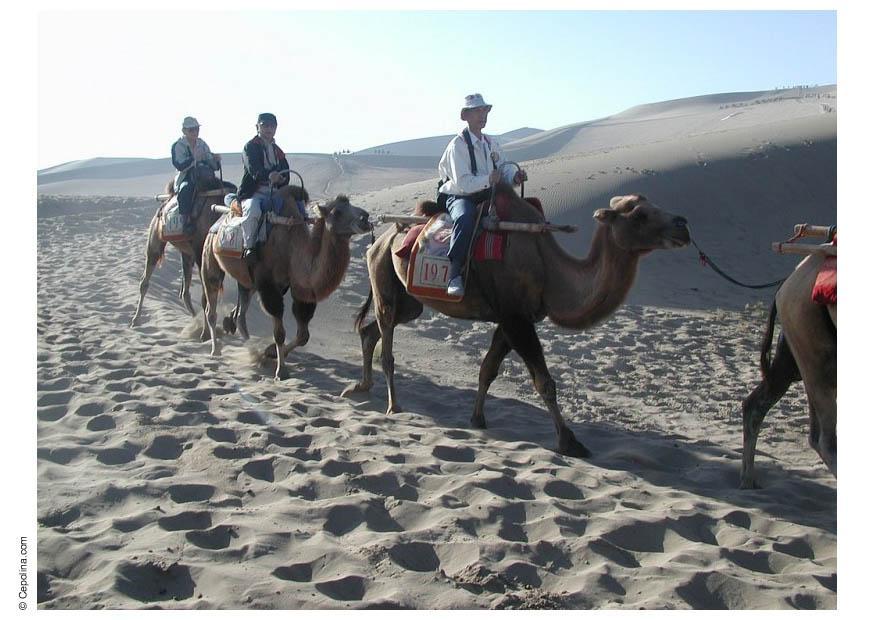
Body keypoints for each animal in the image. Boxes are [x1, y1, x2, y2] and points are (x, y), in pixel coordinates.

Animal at [128, 170, 234, 324]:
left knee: (184, 292)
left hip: (187, 252)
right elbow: (205, 298)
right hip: (156, 238)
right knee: (145, 280)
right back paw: (135, 319)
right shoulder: (201, 255)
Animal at [202, 185, 372, 378]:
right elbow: (280, 333)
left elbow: (303, 336)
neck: (293, 251)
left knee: (241, 313)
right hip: (210, 257)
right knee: (211, 306)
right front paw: (281, 370)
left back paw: (250, 347)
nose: (365, 218)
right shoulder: (269, 287)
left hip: (247, 280)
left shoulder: (300, 288)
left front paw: (268, 352)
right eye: (337, 212)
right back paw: (216, 350)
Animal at [342, 186, 692, 458]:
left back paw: (359, 386)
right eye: (639, 215)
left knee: (370, 330)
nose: (683, 225)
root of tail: (381, 237)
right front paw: (570, 442)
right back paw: (393, 405)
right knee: (386, 340)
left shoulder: (510, 319)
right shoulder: (517, 319)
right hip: (383, 278)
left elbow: (487, 370)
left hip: (410, 301)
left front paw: (478, 419)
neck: (548, 268)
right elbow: (545, 383)